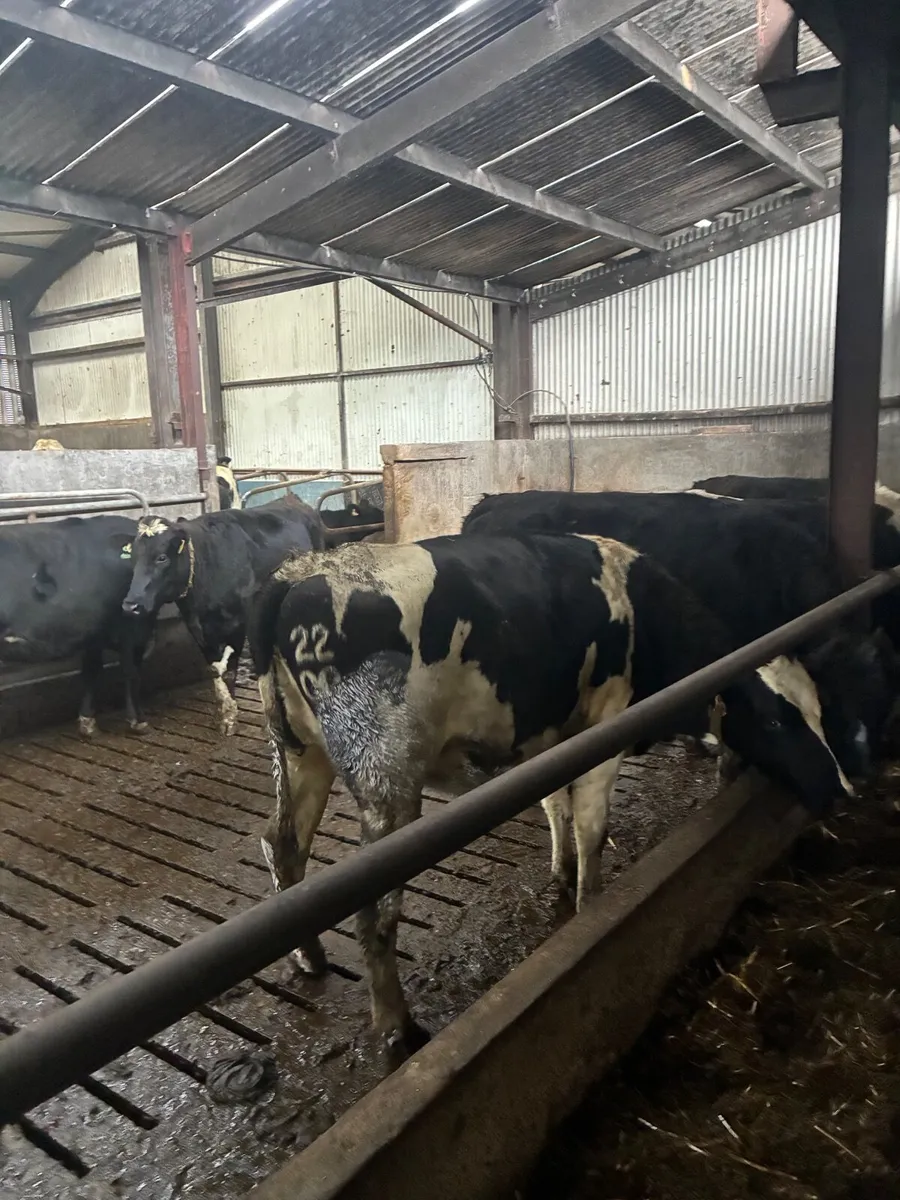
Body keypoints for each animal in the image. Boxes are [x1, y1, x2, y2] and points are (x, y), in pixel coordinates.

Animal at [0, 516, 155, 737]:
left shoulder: (93, 631)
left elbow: (92, 670)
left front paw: (87, 721)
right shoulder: (131, 628)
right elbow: (130, 671)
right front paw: (139, 721)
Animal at [122, 496, 325, 735]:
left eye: (161, 558)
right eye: (133, 558)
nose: (130, 605)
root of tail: (291, 499)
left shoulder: (237, 624)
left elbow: (229, 669)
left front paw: (230, 716)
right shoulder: (197, 627)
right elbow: (215, 668)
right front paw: (224, 713)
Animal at [249, 534, 852, 1061]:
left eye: (821, 710)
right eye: (775, 719)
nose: (837, 787)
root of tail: (302, 573)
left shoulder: (555, 736)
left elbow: (555, 805)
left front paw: (562, 875)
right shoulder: (606, 727)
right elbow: (591, 825)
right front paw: (592, 906)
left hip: (302, 753)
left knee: (284, 845)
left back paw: (310, 956)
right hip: (385, 778)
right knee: (373, 908)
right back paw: (398, 1025)